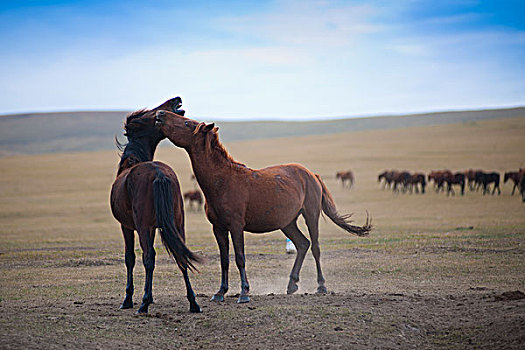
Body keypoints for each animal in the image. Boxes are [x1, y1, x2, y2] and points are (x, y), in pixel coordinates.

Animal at [109, 97, 202, 314]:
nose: (177, 99)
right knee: (181, 256)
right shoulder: (153, 227)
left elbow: (130, 258)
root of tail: (159, 174)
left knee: (148, 257)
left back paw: (144, 303)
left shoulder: (127, 227)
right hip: (177, 222)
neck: (132, 160)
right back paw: (193, 302)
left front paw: (128, 299)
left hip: (143, 227)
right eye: (155, 110)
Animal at [154, 110, 370, 304]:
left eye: (187, 123)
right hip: (287, 222)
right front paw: (220, 292)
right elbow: (224, 260)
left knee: (315, 247)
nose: (160, 114)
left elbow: (240, 258)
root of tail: (312, 174)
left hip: (311, 214)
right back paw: (292, 285)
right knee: (302, 244)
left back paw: (321, 286)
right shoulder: (219, 228)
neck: (223, 181)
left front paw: (244, 293)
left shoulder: (236, 226)